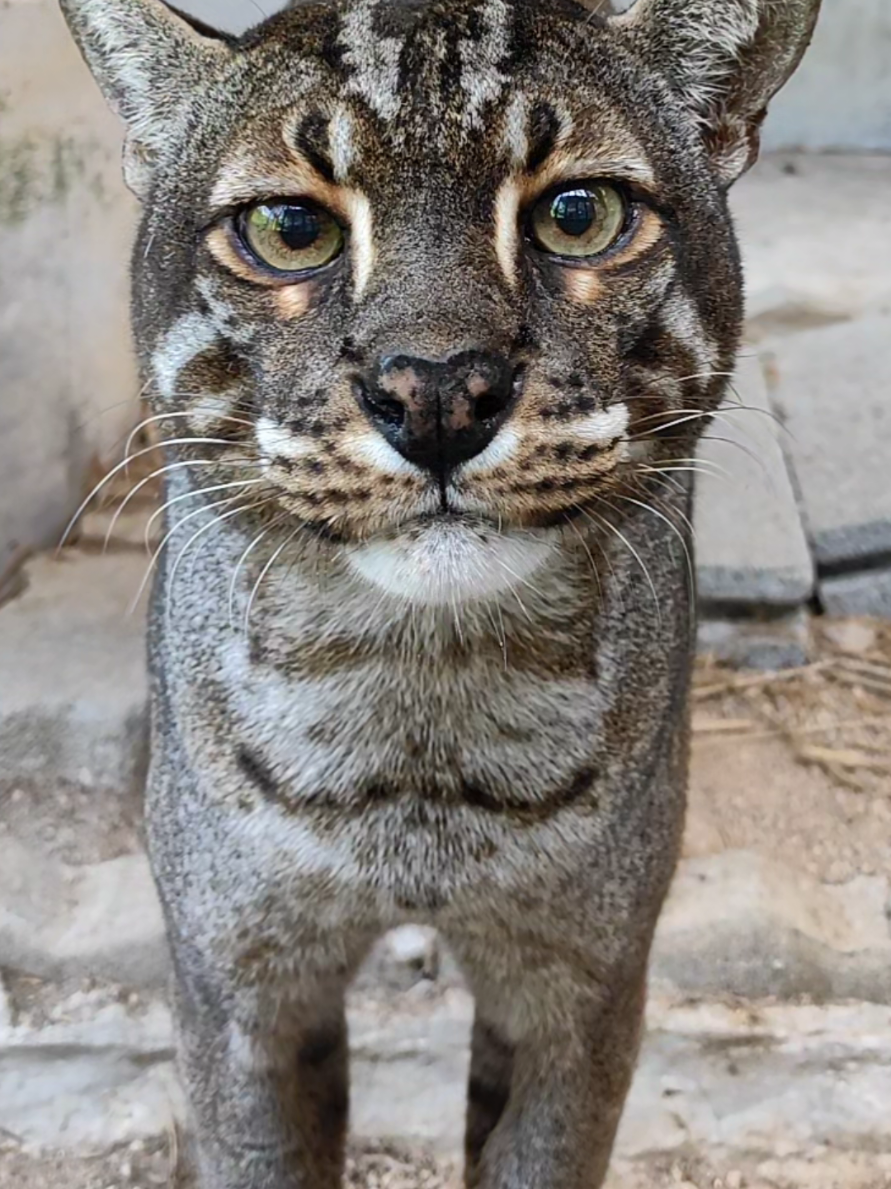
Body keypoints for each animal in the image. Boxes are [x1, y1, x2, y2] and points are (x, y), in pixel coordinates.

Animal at [59, 0, 818, 1184]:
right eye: (290, 227)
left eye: (578, 214)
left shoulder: (582, 983)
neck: (420, 705)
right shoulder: (238, 984)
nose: (436, 390)